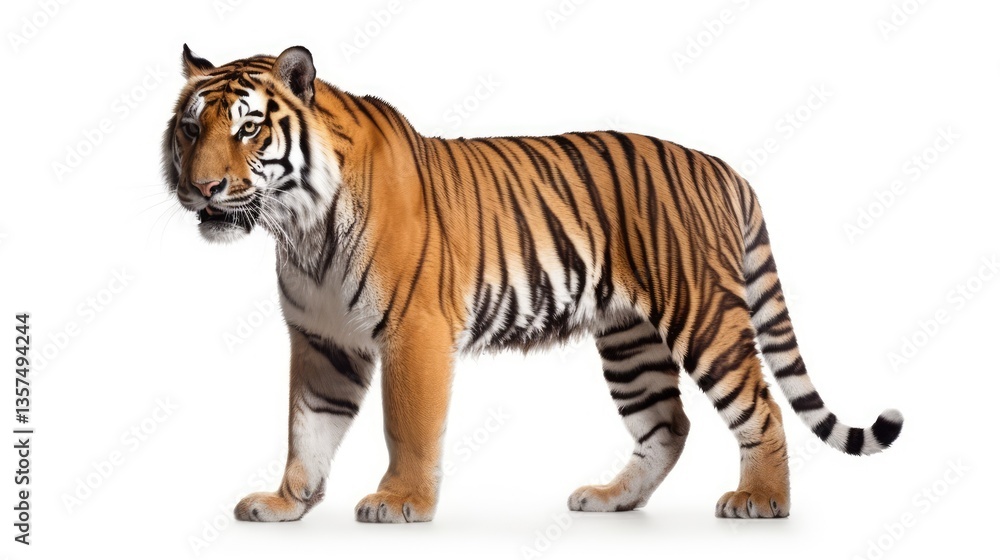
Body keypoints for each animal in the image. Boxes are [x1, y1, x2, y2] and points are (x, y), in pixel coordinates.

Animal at [163, 45, 903, 523]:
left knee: (761, 407)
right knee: (668, 424)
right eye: (192, 127)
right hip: (630, 342)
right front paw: (286, 503)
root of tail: (725, 168)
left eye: (249, 128)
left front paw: (401, 503)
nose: (203, 188)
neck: (299, 227)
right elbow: (305, 428)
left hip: (705, 318)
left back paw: (762, 501)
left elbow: (406, 425)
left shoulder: (413, 331)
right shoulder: (322, 341)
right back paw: (612, 500)